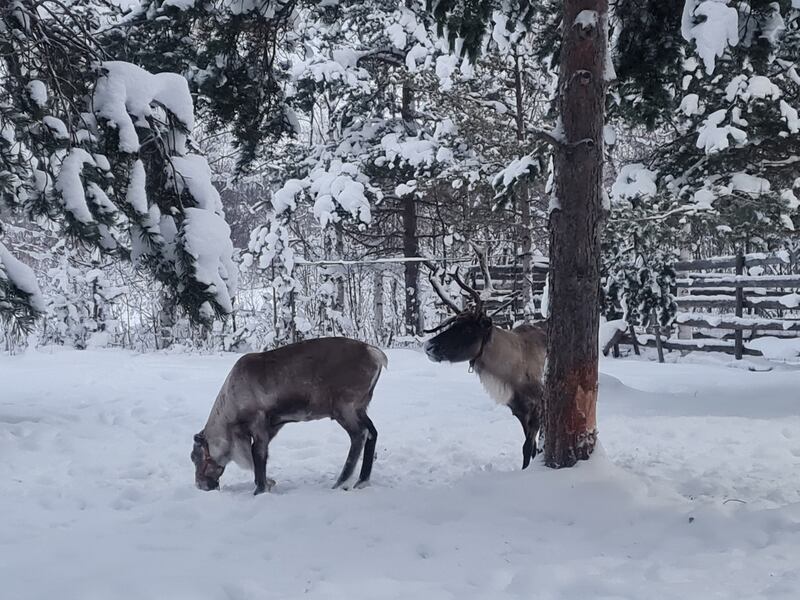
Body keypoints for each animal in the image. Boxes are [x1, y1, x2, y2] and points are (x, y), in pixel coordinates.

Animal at [191, 337, 387, 495]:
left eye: (195, 457)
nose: (200, 486)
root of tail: (377, 355)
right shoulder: (275, 424)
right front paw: (266, 484)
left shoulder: (258, 422)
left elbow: (257, 455)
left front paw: (260, 489)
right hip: (361, 408)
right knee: (372, 432)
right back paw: (361, 481)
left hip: (345, 407)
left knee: (360, 435)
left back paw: (341, 482)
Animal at [423, 247, 546, 469]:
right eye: (454, 323)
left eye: (468, 329)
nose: (428, 346)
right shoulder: (519, 410)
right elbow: (529, 448)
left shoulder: (537, 406)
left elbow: (528, 447)